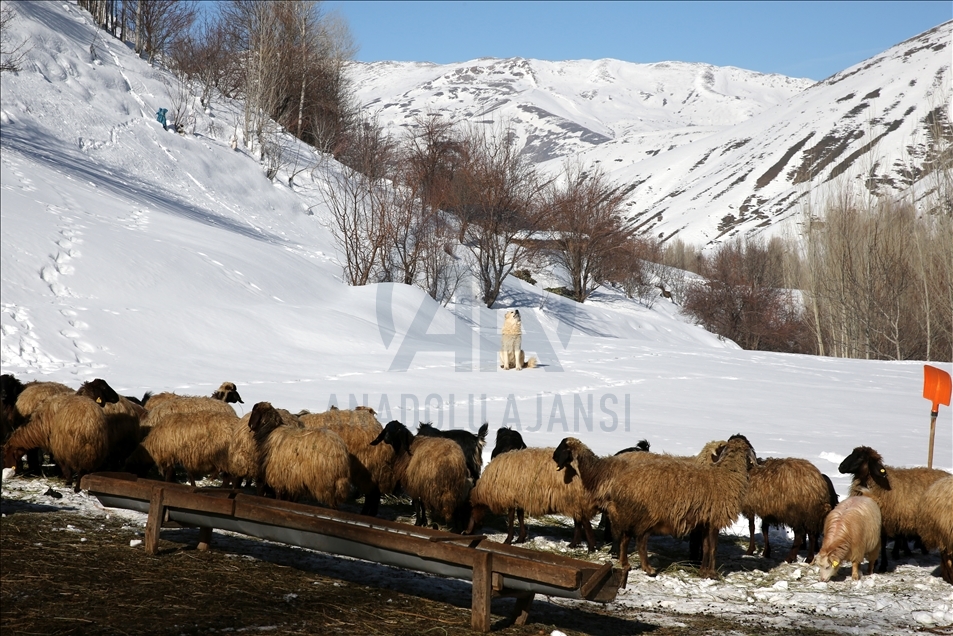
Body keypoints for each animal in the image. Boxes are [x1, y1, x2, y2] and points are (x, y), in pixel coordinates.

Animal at [836, 444, 948, 572]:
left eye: (860, 457)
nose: (841, 467)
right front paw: (875, 562)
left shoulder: (885, 519)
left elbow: (883, 543)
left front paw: (882, 565)